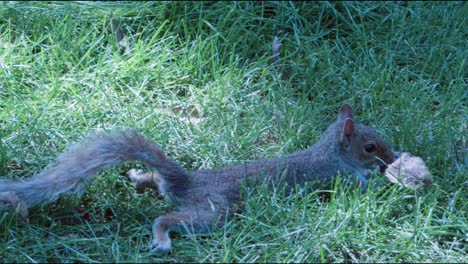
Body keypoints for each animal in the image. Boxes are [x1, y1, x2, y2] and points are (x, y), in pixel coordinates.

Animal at [0, 103, 394, 252]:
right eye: (371, 146)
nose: (391, 159)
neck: (331, 151)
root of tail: (185, 182)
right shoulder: (343, 178)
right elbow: (364, 188)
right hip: (213, 214)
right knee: (166, 216)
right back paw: (161, 238)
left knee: (156, 184)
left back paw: (139, 176)